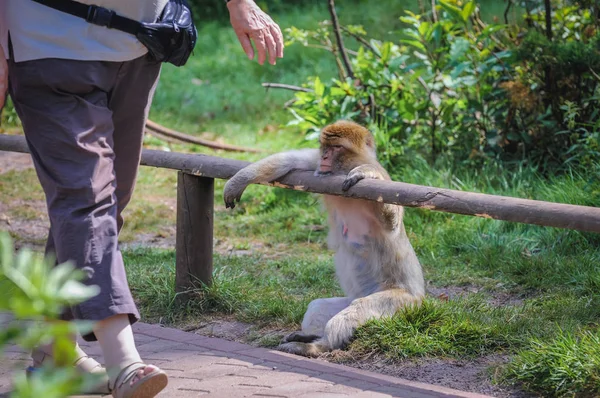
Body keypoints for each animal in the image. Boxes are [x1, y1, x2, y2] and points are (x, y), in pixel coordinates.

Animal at [223, 119, 424, 356]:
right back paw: (308, 336)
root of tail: (422, 301)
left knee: (352, 313)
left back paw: (315, 346)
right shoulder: (321, 168)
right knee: (318, 307)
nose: (326, 157)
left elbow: (391, 223)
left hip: (402, 303)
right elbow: (292, 160)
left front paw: (366, 173)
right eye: (325, 146)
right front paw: (238, 181)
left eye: (336, 147)